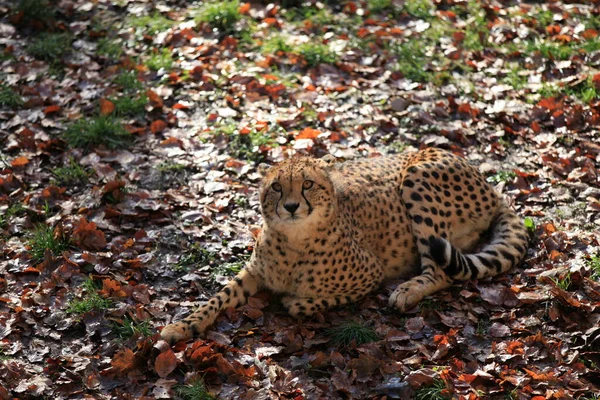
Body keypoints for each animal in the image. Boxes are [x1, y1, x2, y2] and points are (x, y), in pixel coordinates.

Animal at [161, 148, 528, 344]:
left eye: (308, 184)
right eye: (277, 187)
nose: (291, 206)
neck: (294, 240)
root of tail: (490, 185)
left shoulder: (371, 274)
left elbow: (303, 303)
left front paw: (295, 300)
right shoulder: (254, 273)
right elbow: (217, 297)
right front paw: (182, 325)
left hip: (419, 176)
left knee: (441, 273)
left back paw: (407, 290)